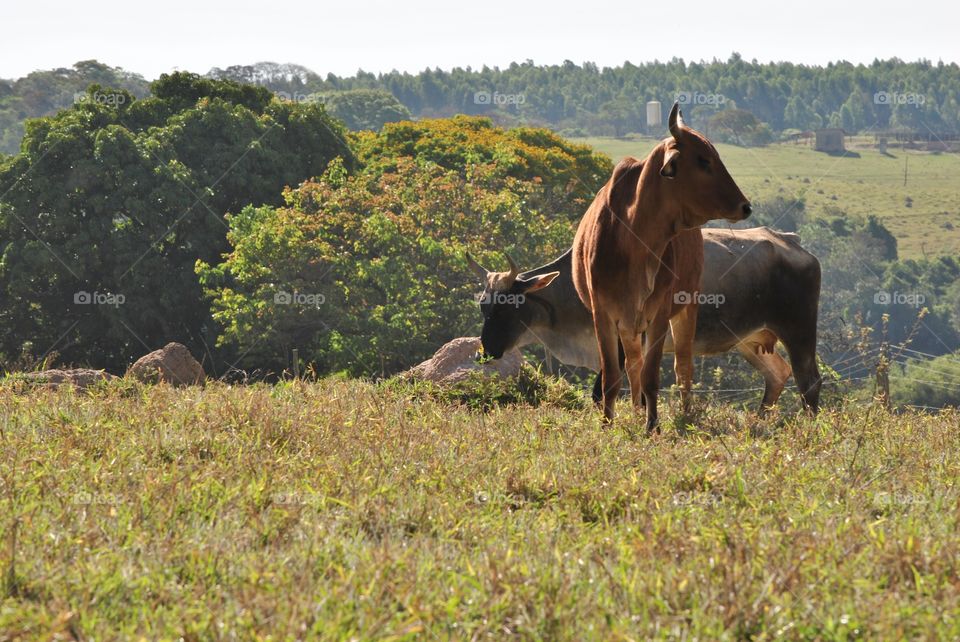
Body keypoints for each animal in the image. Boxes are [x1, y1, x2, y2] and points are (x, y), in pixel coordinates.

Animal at [467, 227, 822, 415]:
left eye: (509, 307)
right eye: (484, 307)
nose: (486, 351)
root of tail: (792, 243)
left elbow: (603, 389)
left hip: (798, 330)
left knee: (809, 380)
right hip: (751, 341)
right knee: (777, 375)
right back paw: (761, 420)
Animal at [571, 102, 752, 426]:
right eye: (703, 160)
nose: (745, 206)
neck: (634, 237)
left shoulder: (659, 312)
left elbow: (652, 376)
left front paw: (652, 425)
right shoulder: (603, 314)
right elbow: (612, 377)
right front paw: (608, 423)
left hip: (686, 306)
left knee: (683, 366)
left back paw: (685, 412)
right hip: (629, 325)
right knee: (633, 365)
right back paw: (635, 409)